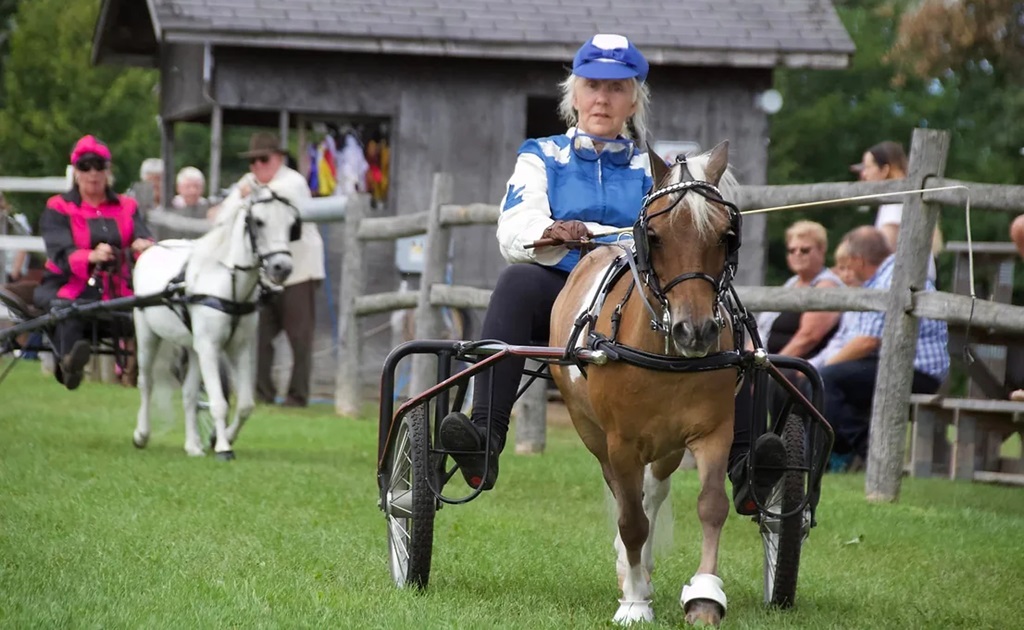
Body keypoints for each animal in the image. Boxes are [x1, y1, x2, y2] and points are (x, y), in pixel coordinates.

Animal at [131, 185, 300, 460]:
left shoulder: (237, 348)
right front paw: (223, 447)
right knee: (146, 383)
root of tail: (153, 248)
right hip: (147, 335)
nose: (281, 267)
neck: (227, 284)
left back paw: (193, 445)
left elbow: (245, 405)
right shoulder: (210, 347)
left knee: (189, 395)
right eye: (259, 221)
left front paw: (225, 437)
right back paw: (141, 435)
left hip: (193, 348)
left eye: (291, 224)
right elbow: (219, 403)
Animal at [550, 141, 740, 626]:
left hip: (666, 446)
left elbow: (712, 505)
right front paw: (634, 602)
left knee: (651, 493)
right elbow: (630, 520)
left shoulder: (713, 431)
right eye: (653, 237)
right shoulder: (621, 441)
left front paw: (705, 595)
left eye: (725, 236)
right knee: (625, 499)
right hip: (593, 432)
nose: (696, 332)